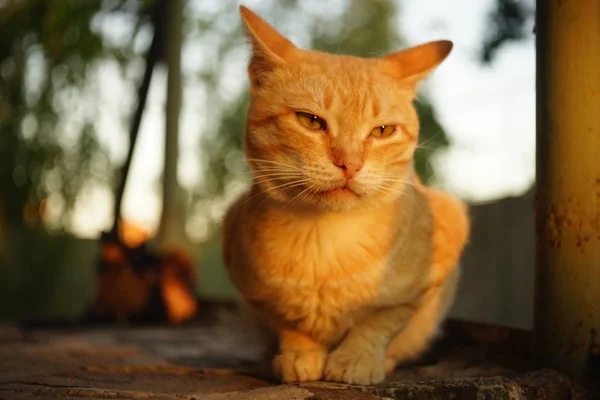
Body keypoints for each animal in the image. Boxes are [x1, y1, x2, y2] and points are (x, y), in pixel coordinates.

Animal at [223, 6, 472, 386]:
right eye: (310, 121)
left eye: (383, 131)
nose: (349, 164)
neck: (324, 240)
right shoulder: (257, 294)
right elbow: (289, 323)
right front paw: (299, 354)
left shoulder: (425, 280)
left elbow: (379, 323)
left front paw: (356, 359)